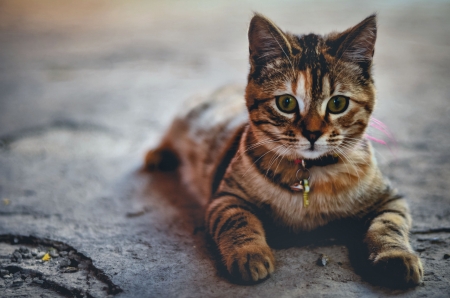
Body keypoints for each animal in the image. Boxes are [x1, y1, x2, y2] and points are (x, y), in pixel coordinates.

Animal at [144, 12, 422, 286]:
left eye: (338, 103)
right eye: (286, 102)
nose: (312, 134)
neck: (311, 175)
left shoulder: (390, 199)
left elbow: (388, 225)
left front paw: (396, 256)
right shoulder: (226, 197)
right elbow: (238, 221)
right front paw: (249, 253)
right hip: (188, 116)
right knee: (170, 132)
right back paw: (158, 154)